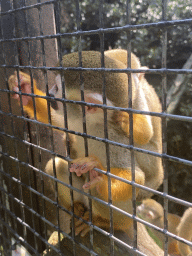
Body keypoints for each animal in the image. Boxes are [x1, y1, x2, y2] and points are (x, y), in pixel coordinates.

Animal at [8, 50, 165, 254]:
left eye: (57, 88)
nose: (50, 93)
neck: (93, 124)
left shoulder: (115, 136)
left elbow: (135, 176)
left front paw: (98, 174)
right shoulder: (74, 119)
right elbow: (55, 120)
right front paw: (26, 90)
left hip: (123, 212)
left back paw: (103, 222)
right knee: (58, 166)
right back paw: (76, 208)